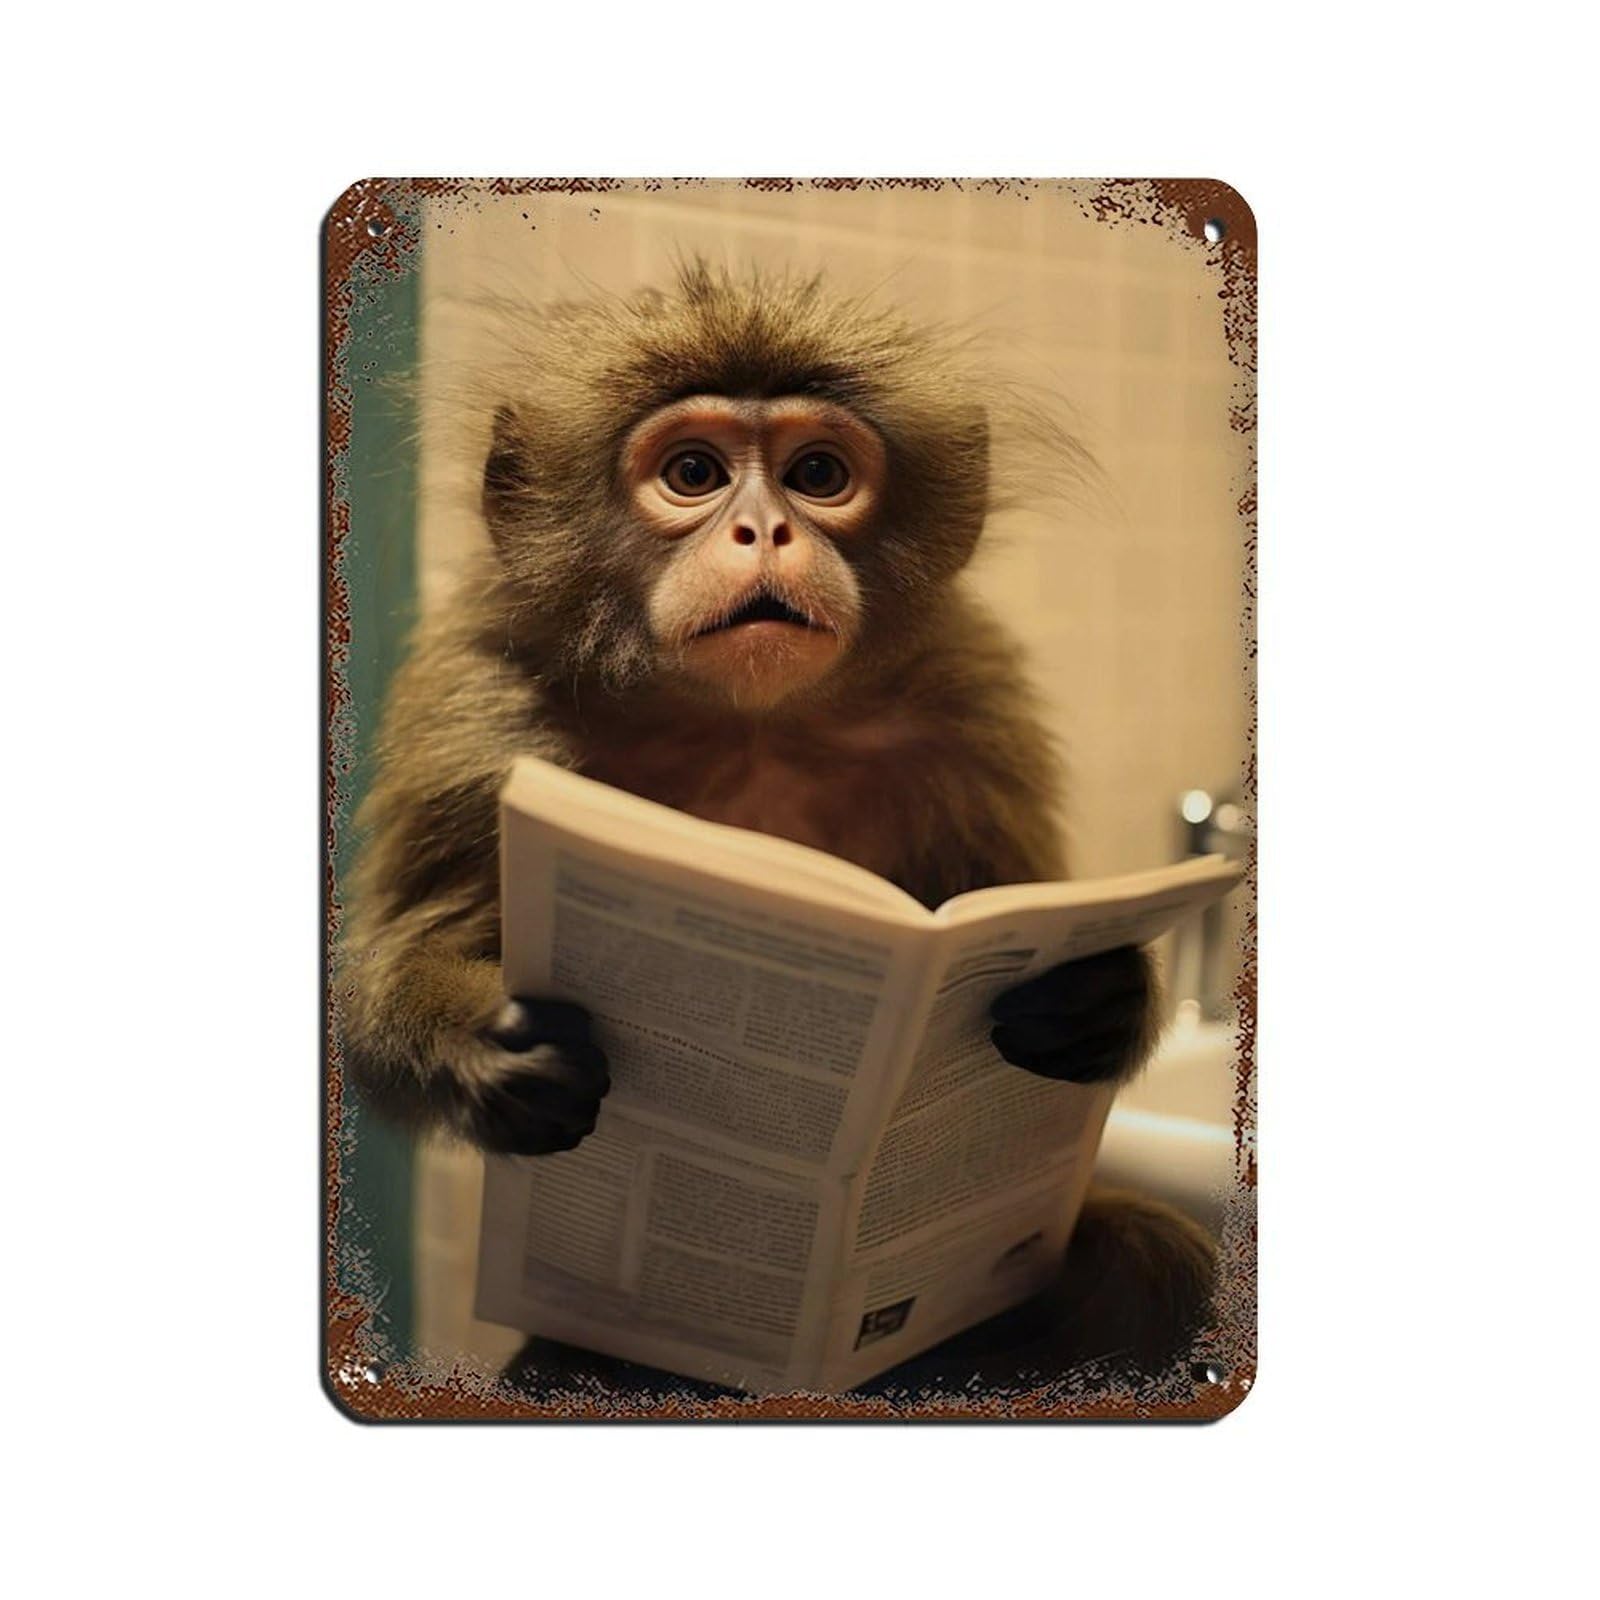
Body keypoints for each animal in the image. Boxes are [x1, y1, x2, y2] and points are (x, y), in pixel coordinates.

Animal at [338, 261, 1216, 1390]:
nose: (766, 530)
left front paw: (1098, 996)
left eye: (817, 473)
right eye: (695, 471)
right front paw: (482, 1039)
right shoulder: (478, 707)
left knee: (1146, 1262)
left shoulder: (971, 710)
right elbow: (390, 987)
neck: (744, 722)